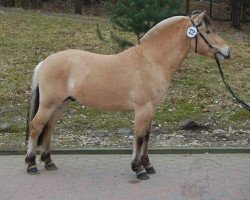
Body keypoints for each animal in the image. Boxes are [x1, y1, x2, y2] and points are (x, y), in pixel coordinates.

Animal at [25, 10, 230, 180]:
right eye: (207, 31)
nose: (227, 51)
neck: (151, 60)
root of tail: (44, 62)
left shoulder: (151, 109)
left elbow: (147, 136)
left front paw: (148, 166)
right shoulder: (142, 108)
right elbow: (138, 136)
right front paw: (138, 169)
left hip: (60, 105)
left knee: (48, 129)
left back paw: (49, 162)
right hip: (48, 104)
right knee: (36, 127)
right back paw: (31, 165)